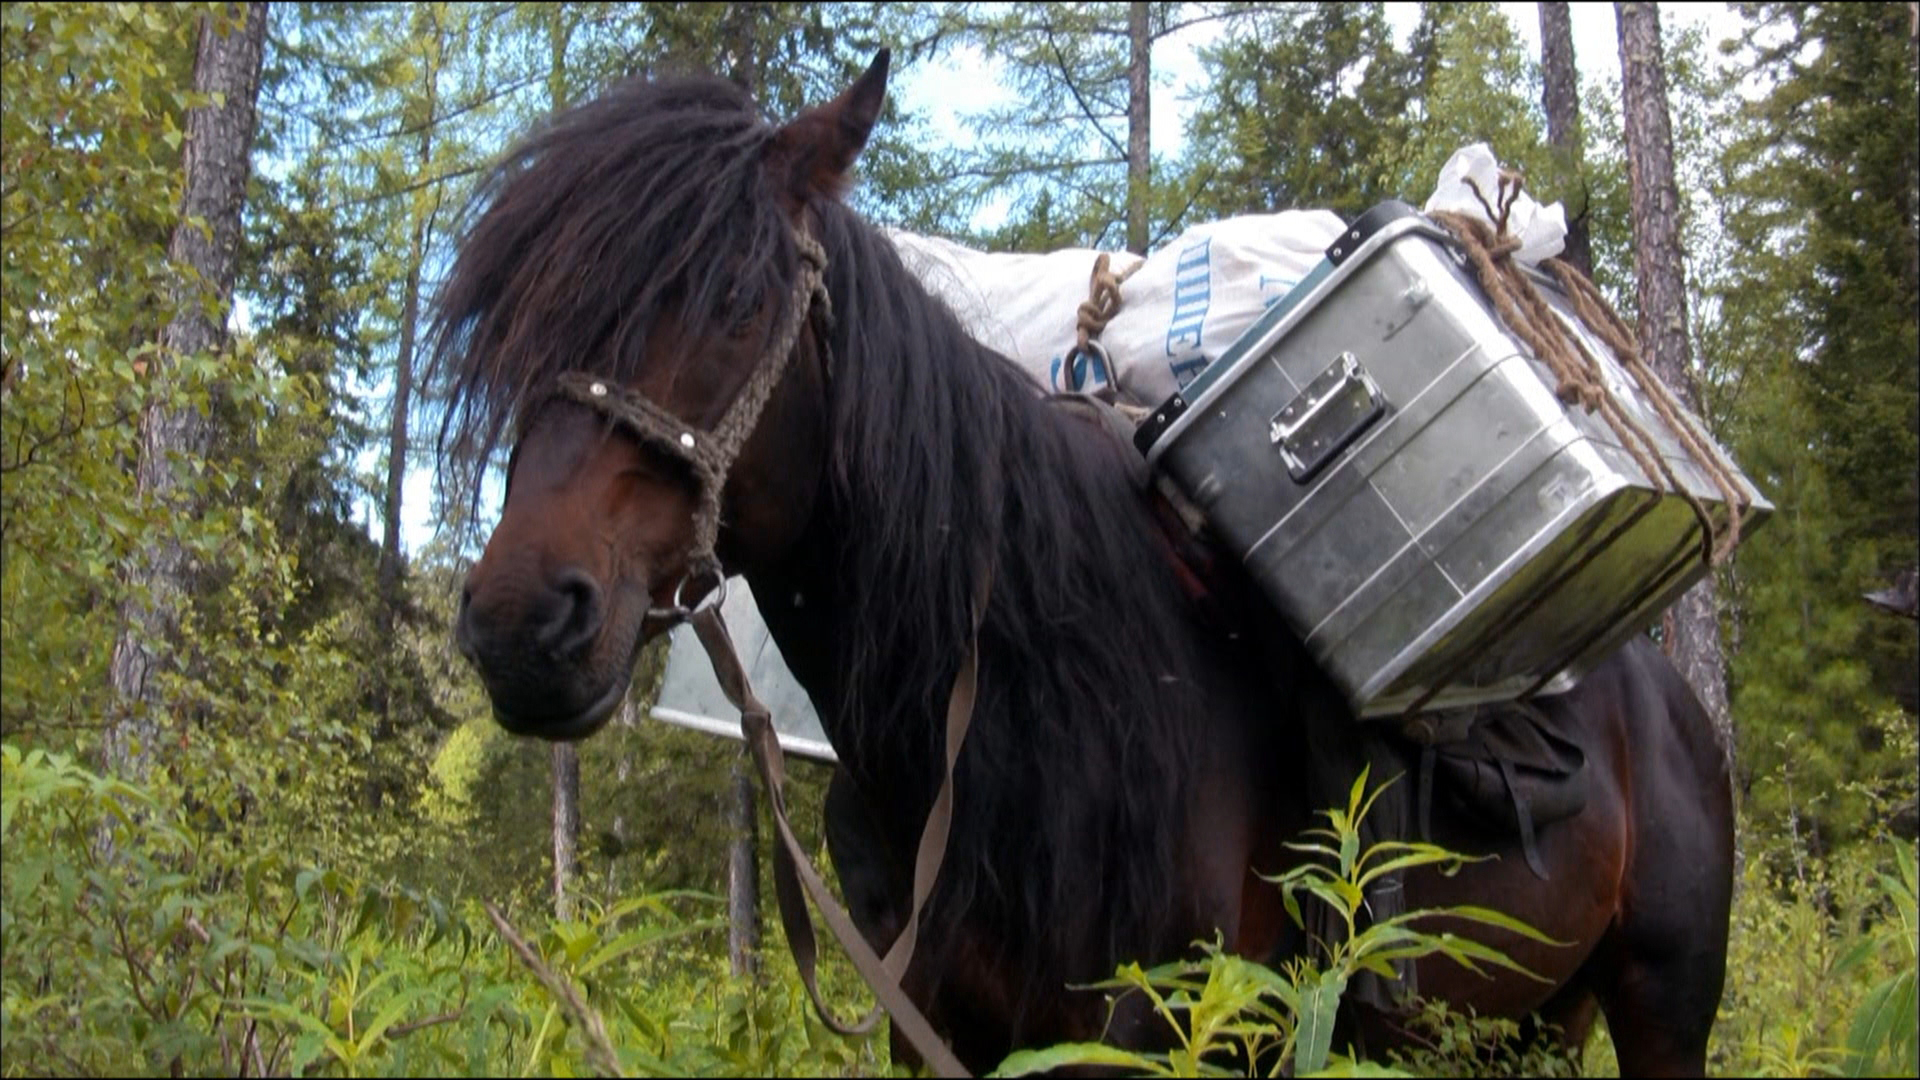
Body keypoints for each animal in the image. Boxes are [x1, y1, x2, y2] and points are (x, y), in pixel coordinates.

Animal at [431, 52, 1735, 1076]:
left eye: (740, 302)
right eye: (520, 323)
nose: (519, 627)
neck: (1005, 719)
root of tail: (1666, 704)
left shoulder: (1148, 1030)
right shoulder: (933, 1030)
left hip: (1661, 1008)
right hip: (1523, 1025)